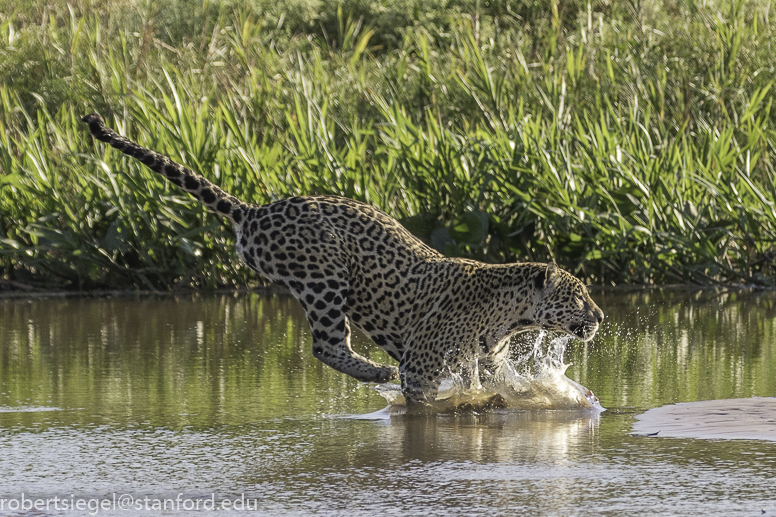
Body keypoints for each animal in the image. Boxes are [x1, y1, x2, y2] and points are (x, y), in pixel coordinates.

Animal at [82, 113, 604, 407]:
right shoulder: (423, 363)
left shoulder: (489, 360)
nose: (600, 317)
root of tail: (255, 210)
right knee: (325, 345)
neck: (509, 315)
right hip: (323, 277)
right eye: (577, 296)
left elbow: (507, 385)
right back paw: (377, 372)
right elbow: (420, 402)